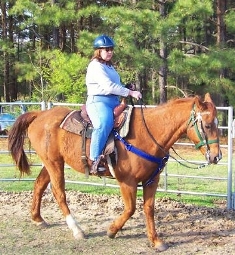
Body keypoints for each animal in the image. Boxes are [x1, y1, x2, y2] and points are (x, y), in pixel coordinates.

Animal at [7, 93, 220, 251]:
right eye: (208, 125)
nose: (216, 157)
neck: (148, 133)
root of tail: (39, 114)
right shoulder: (127, 181)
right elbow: (130, 208)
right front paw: (112, 230)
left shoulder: (152, 180)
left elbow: (148, 209)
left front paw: (156, 241)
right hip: (54, 164)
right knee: (59, 193)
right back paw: (77, 230)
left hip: (50, 163)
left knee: (39, 185)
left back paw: (37, 219)